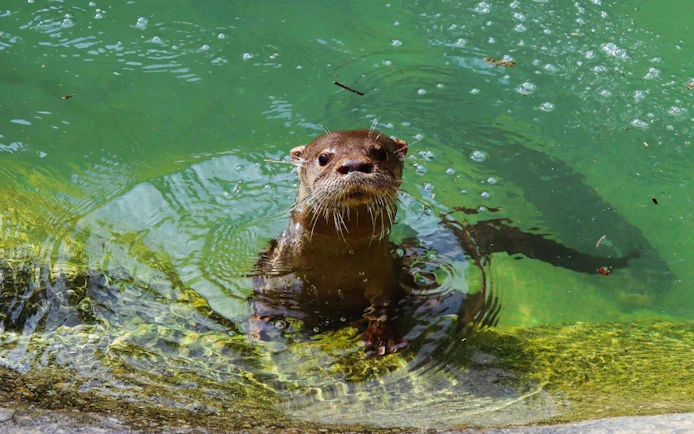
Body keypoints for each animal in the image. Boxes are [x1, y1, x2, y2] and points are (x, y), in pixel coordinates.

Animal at [249, 129, 637, 355]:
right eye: (324, 157)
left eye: (380, 152)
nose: (355, 164)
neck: (336, 263)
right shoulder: (277, 269)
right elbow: (263, 299)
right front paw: (259, 331)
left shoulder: (383, 273)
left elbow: (383, 304)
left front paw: (381, 337)